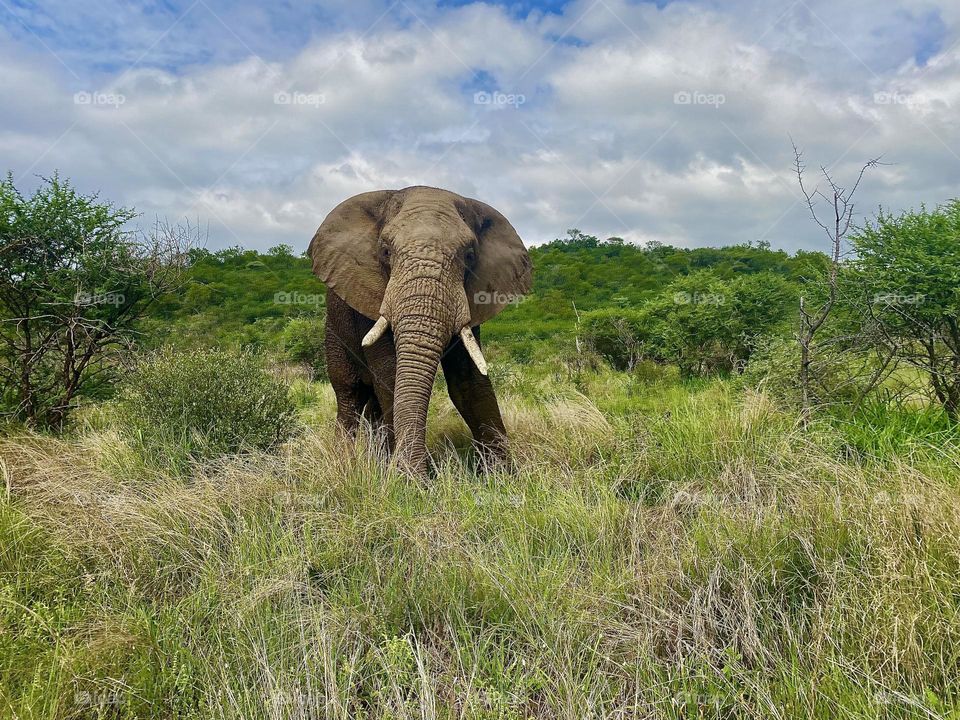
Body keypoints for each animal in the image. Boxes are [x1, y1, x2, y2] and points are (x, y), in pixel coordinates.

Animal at [310, 186, 528, 478]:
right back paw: (347, 462)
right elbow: (390, 375)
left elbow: (469, 381)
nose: (419, 479)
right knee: (350, 394)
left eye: (469, 256)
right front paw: (402, 477)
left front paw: (504, 476)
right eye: (385, 251)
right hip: (334, 332)